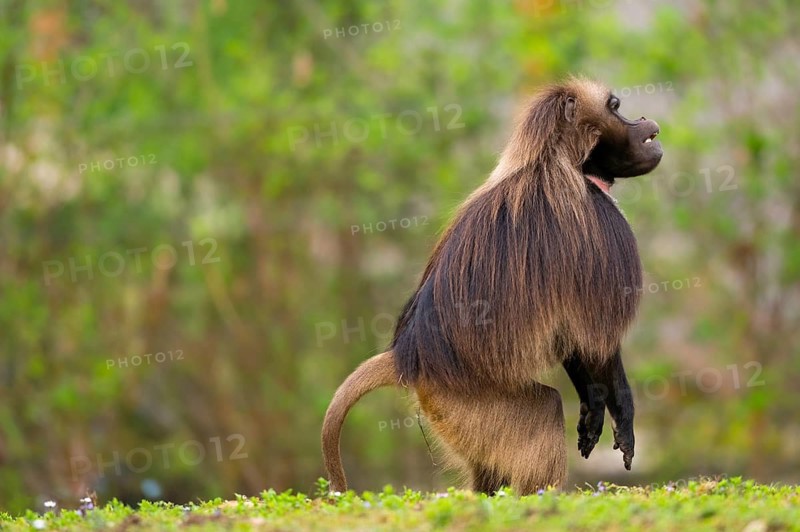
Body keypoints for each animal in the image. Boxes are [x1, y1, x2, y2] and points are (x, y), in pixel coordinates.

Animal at [322, 77, 663, 495]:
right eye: (615, 108)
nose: (645, 122)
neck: (553, 159)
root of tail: (408, 356)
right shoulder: (599, 219)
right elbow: (596, 339)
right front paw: (622, 418)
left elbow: (571, 337)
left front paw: (593, 411)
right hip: (469, 404)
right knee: (545, 409)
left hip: (455, 417)